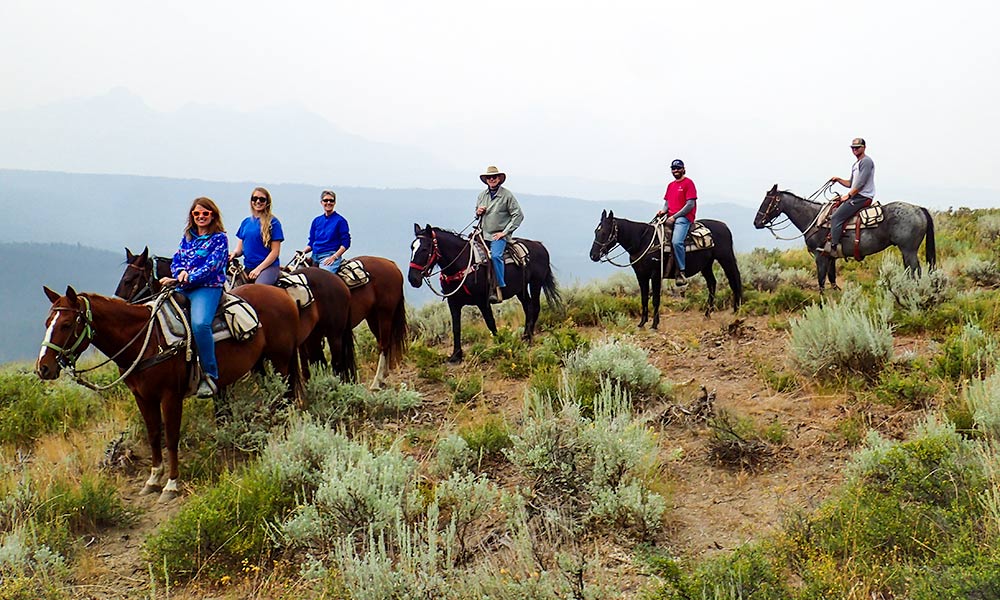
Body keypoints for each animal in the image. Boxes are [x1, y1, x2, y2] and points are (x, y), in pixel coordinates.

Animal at [37, 286, 300, 502]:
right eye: (47, 322)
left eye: (66, 324)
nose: (43, 368)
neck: (146, 340)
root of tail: (282, 294)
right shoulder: (143, 397)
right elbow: (155, 435)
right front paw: (153, 480)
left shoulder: (170, 397)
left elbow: (172, 437)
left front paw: (171, 485)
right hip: (261, 363)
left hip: (281, 362)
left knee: (286, 398)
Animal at [408, 225, 564, 364]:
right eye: (412, 247)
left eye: (425, 248)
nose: (412, 278)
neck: (463, 263)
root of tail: (540, 245)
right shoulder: (453, 303)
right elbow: (456, 327)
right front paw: (456, 356)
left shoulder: (482, 301)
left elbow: (490, 323)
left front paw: (500, 345)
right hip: (521, 289)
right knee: (528, 308)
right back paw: (525, 336)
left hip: (536, 283)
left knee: (535, 307)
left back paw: (528, 338)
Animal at [584, 211, 744, 328]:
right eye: (595, 231)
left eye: (604, 232)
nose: (593, 255)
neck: (643, 241)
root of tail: (724, 226)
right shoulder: (641, 276)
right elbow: (643, 298)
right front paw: (642, 323)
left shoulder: (655, 275)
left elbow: (655, 299)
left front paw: (654, 324)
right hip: (706, 265)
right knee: (712, 284)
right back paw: (707, 315)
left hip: (726, 259)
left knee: (734, 280)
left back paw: (737, 310)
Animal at [752, 185, 932, 292]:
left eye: (767, 201)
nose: (756, 222)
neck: (814, 219)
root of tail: (919, 209)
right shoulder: (830, 256)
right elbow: (831, 278)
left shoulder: (819, 256)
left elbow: (821, 280)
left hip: (909, 250)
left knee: (916, 271)